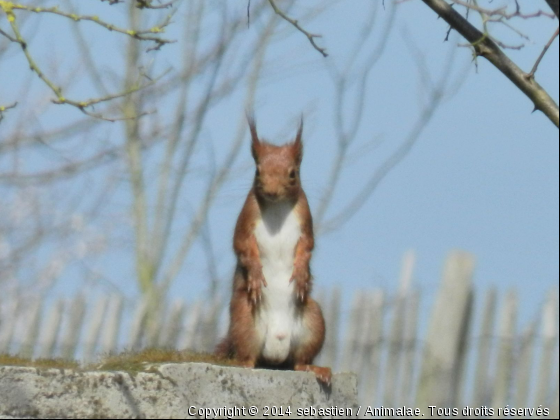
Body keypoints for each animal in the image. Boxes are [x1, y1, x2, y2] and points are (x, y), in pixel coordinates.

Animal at [215, 116, 332, 386]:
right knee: (248, 355)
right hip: (244, 318)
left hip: (313, 320)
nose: (271, 191)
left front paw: (301, 273)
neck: (277, 206)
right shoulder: (246, 219)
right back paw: (242, 365)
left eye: (292, 173)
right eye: (257, 171)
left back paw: (315, 369)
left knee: (299, 362)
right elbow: (242, 246)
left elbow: (308, 247)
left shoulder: (305, 220)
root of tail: (276, 348)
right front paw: (256, 274)